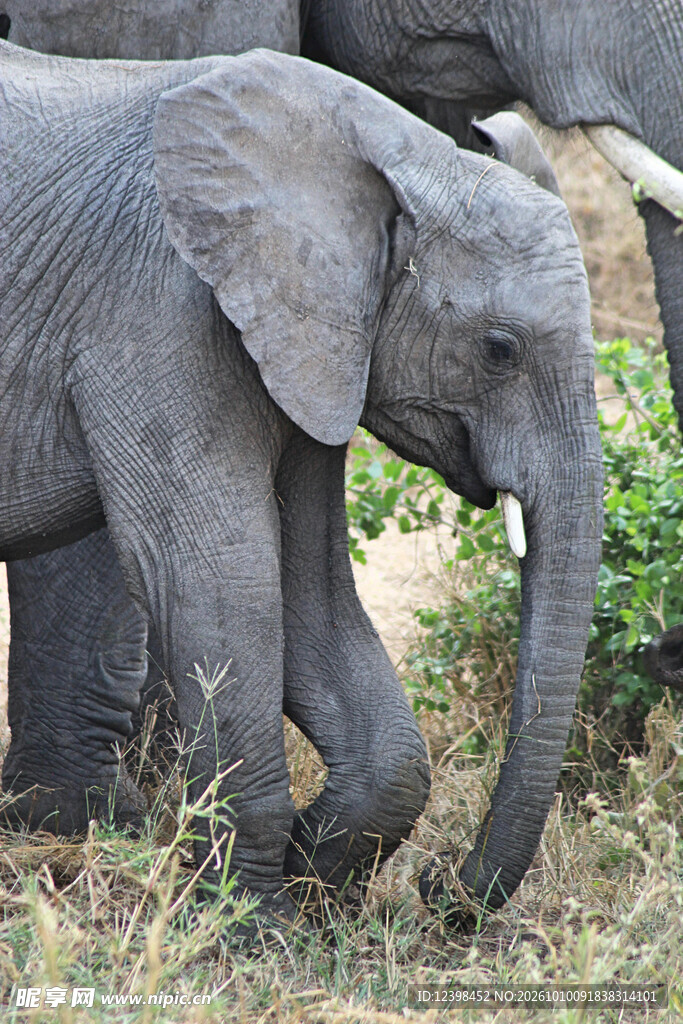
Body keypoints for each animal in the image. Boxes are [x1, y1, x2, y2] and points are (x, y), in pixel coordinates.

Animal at [0, 38, 603, 925]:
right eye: (499, 350)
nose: (438, 886)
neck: (398, 156)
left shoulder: (311, 344)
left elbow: (307, 588)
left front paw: (313, 873)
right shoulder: (160, 309)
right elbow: (222, 576)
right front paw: (253, 924)